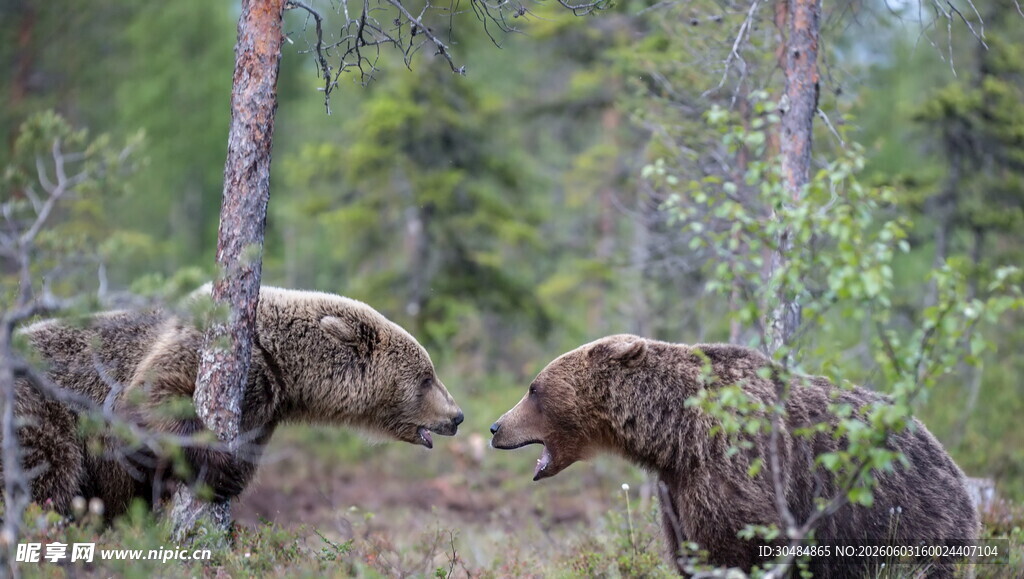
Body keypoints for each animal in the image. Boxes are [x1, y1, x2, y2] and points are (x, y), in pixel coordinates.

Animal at [4, 286, 464, 518]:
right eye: (426, 376)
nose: (457, 415)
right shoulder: (207, 348)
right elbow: (146, 404)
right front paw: (219, 469)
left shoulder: (264, 408)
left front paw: (234, 473)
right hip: (40, 413)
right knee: (46, 476)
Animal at [489, 335, 979, 577]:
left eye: (532, 389)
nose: (495, 427)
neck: (674, 436)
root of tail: (956, 469)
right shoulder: (678, 491)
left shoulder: (734, 474)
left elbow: (738, 549)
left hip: (908, 526)